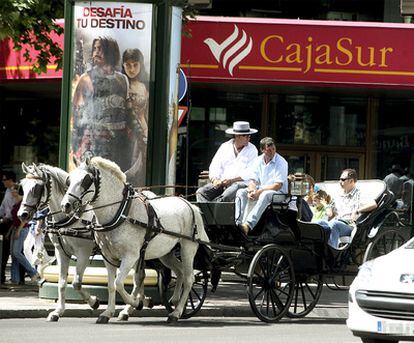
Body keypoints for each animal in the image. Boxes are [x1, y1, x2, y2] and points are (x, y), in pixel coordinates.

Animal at [60, 157, 210, 324]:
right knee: (180, 272)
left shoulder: (131, 256)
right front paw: (108, 312)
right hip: (166, 253)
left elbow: (119, 283)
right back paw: (175, 301)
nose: (65, 205)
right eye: (69, 180)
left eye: (86, 180)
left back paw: (176, 313)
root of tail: (190, 205)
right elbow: (112, 285)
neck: (120, 212)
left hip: (187, 247)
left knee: (189, 278)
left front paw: (136, 303)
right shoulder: (108, 256)